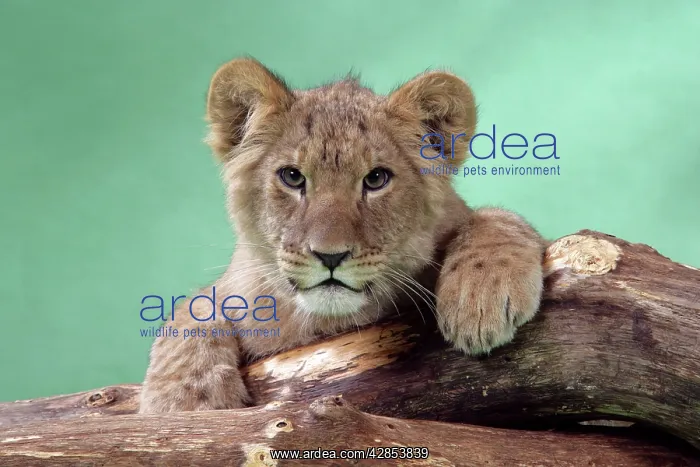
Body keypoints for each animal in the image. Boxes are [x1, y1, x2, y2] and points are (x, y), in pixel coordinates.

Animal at [139, 58, 546, 413]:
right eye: (292, 177)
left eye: (376, 179)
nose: (330, 256)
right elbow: (191, 307)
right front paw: (184, 404)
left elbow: (496, 217)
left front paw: (480, 300)